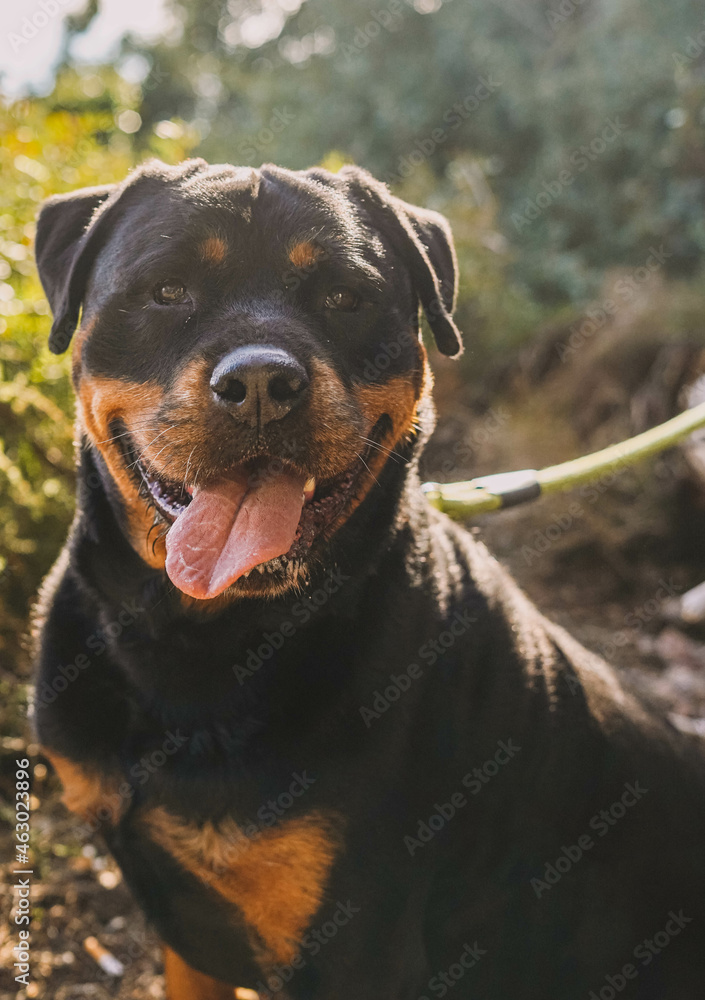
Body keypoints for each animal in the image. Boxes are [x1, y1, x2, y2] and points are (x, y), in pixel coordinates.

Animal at [34, 160, 704, 996]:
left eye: (344, 297)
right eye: (167, 289)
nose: (261, 379)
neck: (197, 640)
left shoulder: (356, 944)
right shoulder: (186, 933)